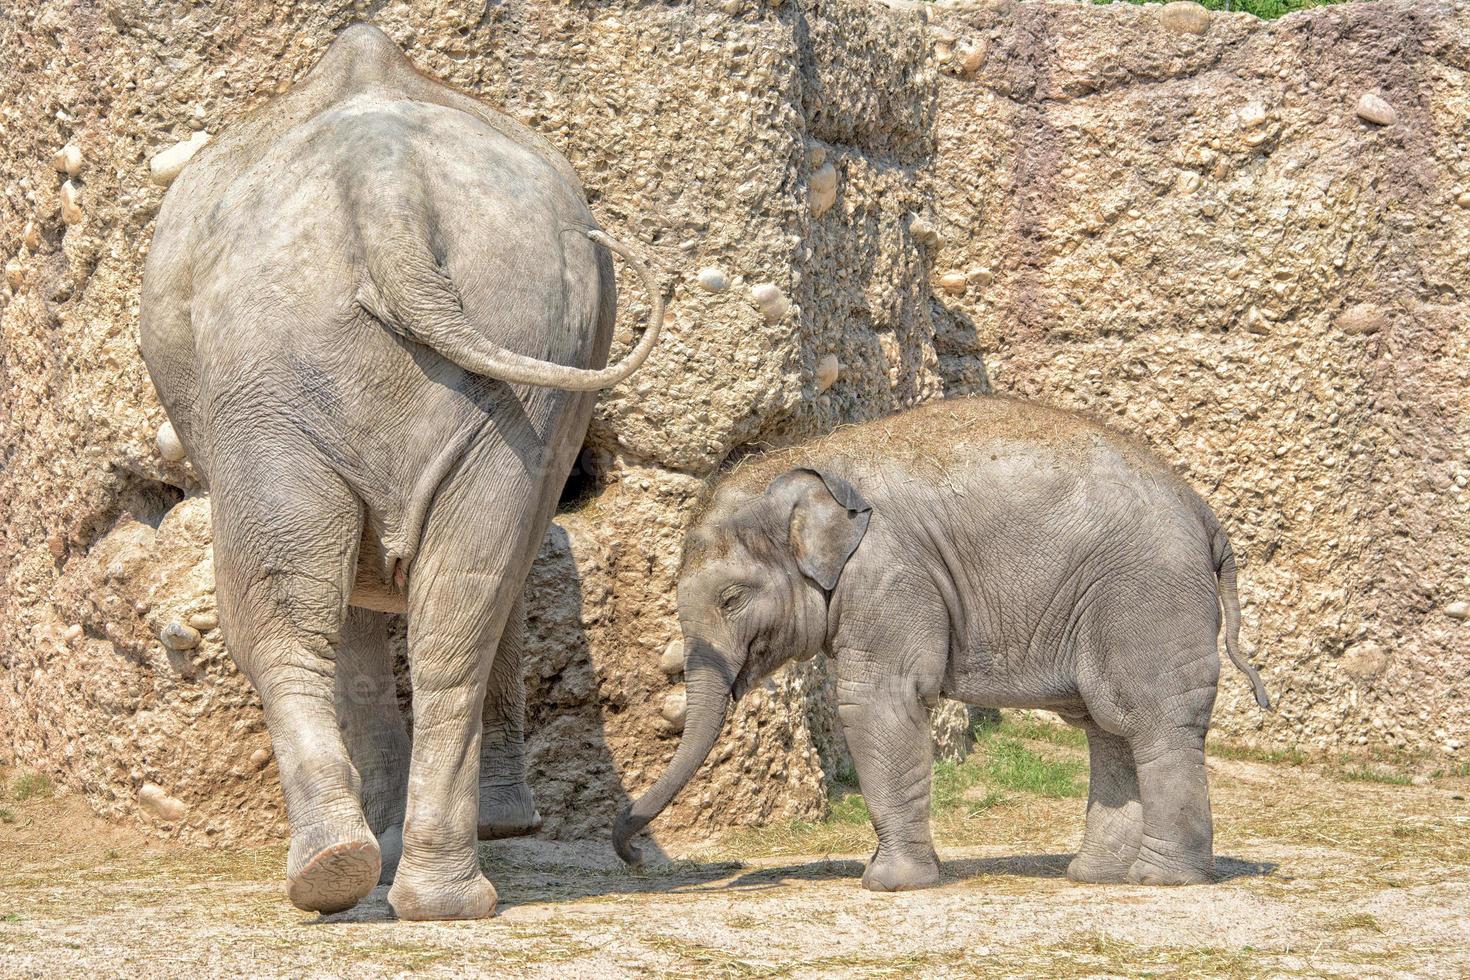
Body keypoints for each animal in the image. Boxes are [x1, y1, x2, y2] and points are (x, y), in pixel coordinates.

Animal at [140, 24, 664, 928]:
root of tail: (384, 188)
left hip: (279, 372)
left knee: (293, 614)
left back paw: (356, 874)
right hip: (478, 352)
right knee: (453, 607)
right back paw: (413, 889)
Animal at [614, 396, 1270, 887]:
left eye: (731, 599)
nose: (636, 856)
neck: (810, 458)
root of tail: (1207, 517)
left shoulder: (890, 573)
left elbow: (878, 700)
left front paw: (888, 883)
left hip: (1147, 598)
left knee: (1153, 720)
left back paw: (1160, 879)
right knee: (1109, 725)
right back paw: (1094, 875)